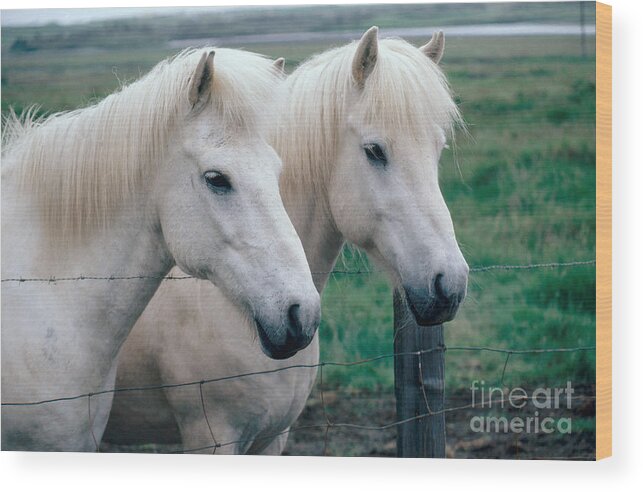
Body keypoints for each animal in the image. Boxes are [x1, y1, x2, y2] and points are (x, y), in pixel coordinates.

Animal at [104, 28, 468, 456]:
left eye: (438, 148)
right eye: (375, 150)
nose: (449, 285)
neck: (226, 305)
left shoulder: (273, 437)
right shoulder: (211, 437)